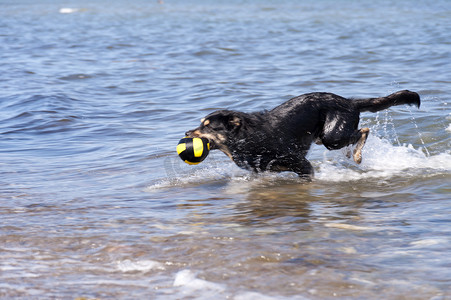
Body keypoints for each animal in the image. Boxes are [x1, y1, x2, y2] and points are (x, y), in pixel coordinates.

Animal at [185, 89, 422, 178]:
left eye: (208, 126)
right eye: (201, 124)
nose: (187, 132)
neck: (247, 138)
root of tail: (349, 101)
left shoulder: (301, 164)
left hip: (331, 136)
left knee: (364, 130)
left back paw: (356, 155)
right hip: (322, 137)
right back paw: (350, 153)